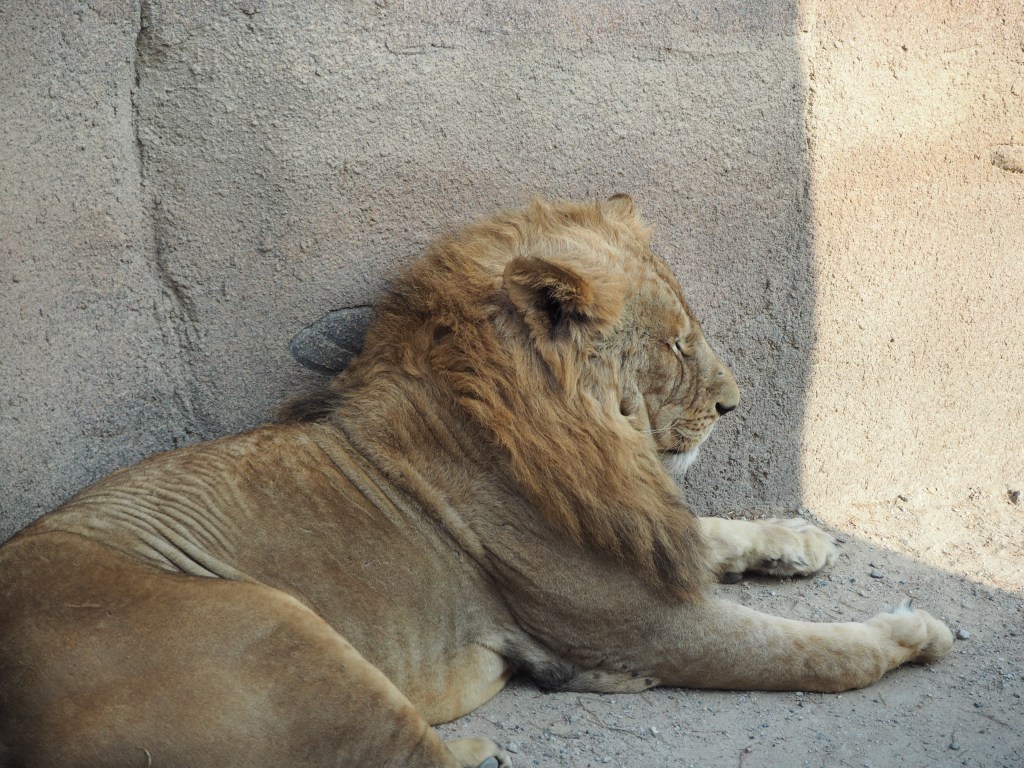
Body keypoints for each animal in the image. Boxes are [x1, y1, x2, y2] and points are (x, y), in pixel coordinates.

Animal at [0, 196, 952, 768]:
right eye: (678, 345)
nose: (732, 404)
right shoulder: (648, 622)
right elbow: (810, 654)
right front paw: (908, 631)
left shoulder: (636, 535)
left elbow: (711, 531)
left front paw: (799, 541)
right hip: (271, 625)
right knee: (406, 752)